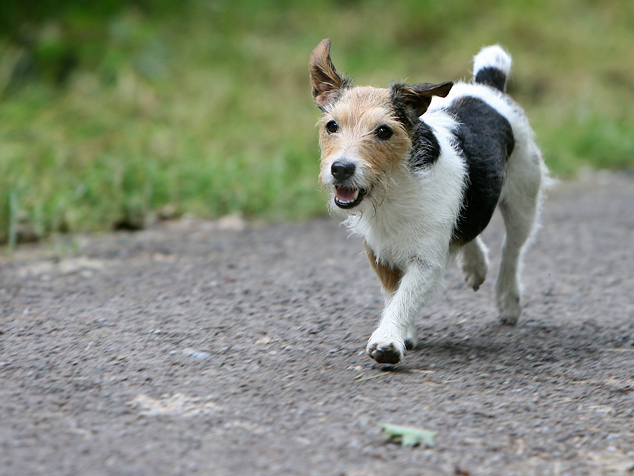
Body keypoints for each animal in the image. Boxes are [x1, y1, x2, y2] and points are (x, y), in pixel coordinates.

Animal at [308, 39, 544, 364]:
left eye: (384, 131)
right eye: (332, 126)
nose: (341, 168)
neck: (395, 187)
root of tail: (487, 86)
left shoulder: (426, 261)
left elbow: (405, 297)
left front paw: (388, 341)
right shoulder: (379, 254)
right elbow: (393, 294)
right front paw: (403, 333)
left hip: (523, 199)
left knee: (512, 252)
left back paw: (508, 301)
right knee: (468, 227)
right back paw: (475, 265)